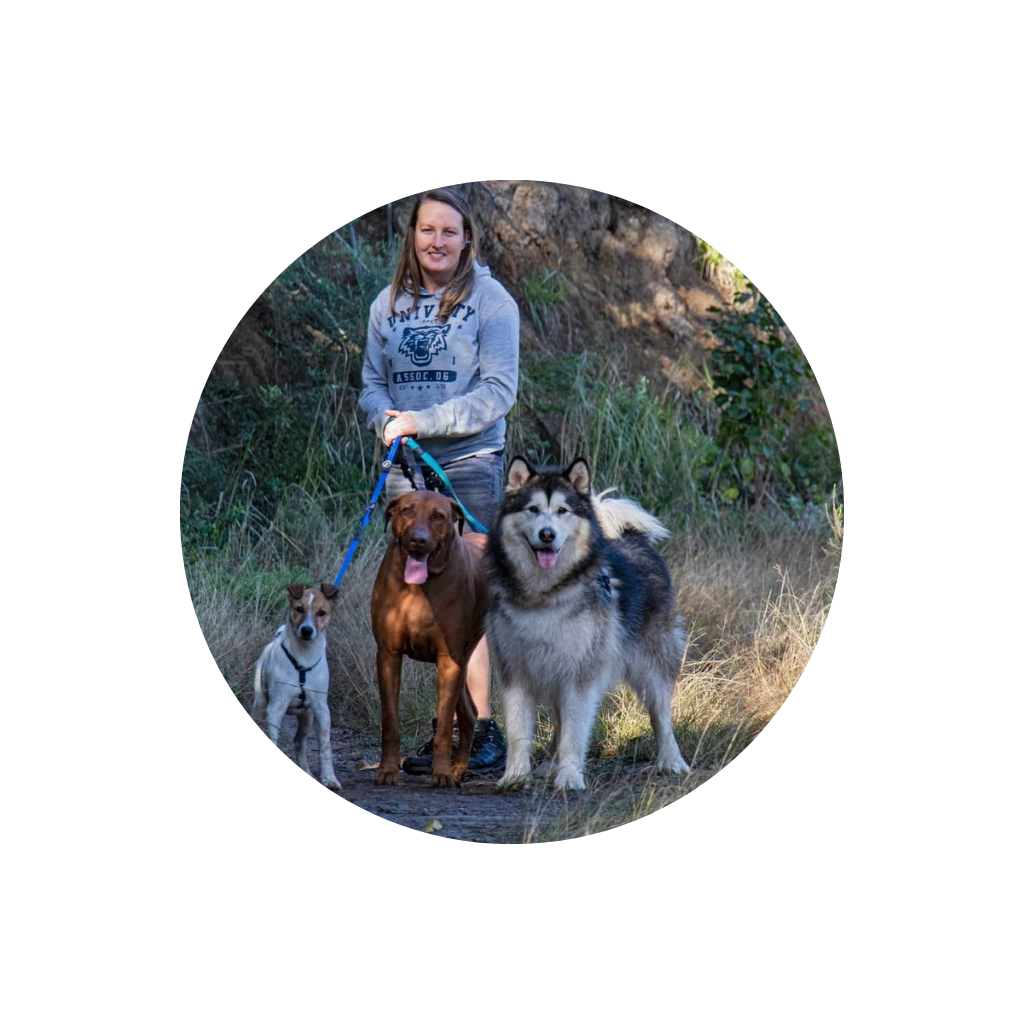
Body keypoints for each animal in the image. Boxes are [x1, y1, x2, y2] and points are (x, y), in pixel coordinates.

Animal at [253, 583, 341, 789]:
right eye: (299, 609)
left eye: (321, 613)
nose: (307, 630)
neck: (303, 658)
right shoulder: (276, 707)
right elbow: (273, 738)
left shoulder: (321, 709)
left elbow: (326, 747)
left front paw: (329, 778)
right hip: (260, 705)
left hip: (307, 717)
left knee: (299, 743)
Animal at [370, 490, 488, 788]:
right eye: (407, 511)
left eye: (438, 516)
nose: (418, 539)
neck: (418, 587)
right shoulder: (388, 655)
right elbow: (390, 723)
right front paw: (388, 770)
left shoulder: (449, 660)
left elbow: (444, 728)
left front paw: (442, 773)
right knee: (469, 713)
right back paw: (459, 768)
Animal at [485, 457, 690, 790]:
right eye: (533, 509)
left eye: (562, 511)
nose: (547, 535)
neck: (545, 596)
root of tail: (634, 539)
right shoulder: (515, 671)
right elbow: (518, 731)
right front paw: (515, 776)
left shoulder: (580, 675)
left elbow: (575, 731)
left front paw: (570, 777)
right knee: (558, 720)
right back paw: (549, 765)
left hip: (652, 664)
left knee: (660, 715)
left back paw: (672, 760)